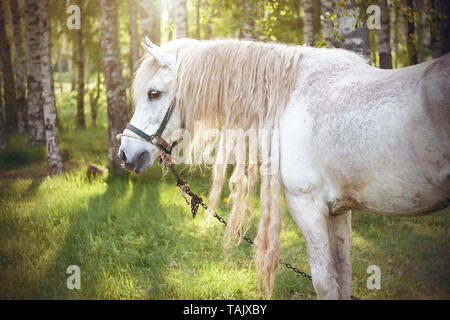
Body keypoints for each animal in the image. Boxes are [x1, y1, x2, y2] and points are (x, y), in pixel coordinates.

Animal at [118, 38, 448, 300]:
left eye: (153, 93)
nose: (125, 154)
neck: (292, 97)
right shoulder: (340, 211)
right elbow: (342, 276)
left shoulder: (308, 206)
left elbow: (325, 282)